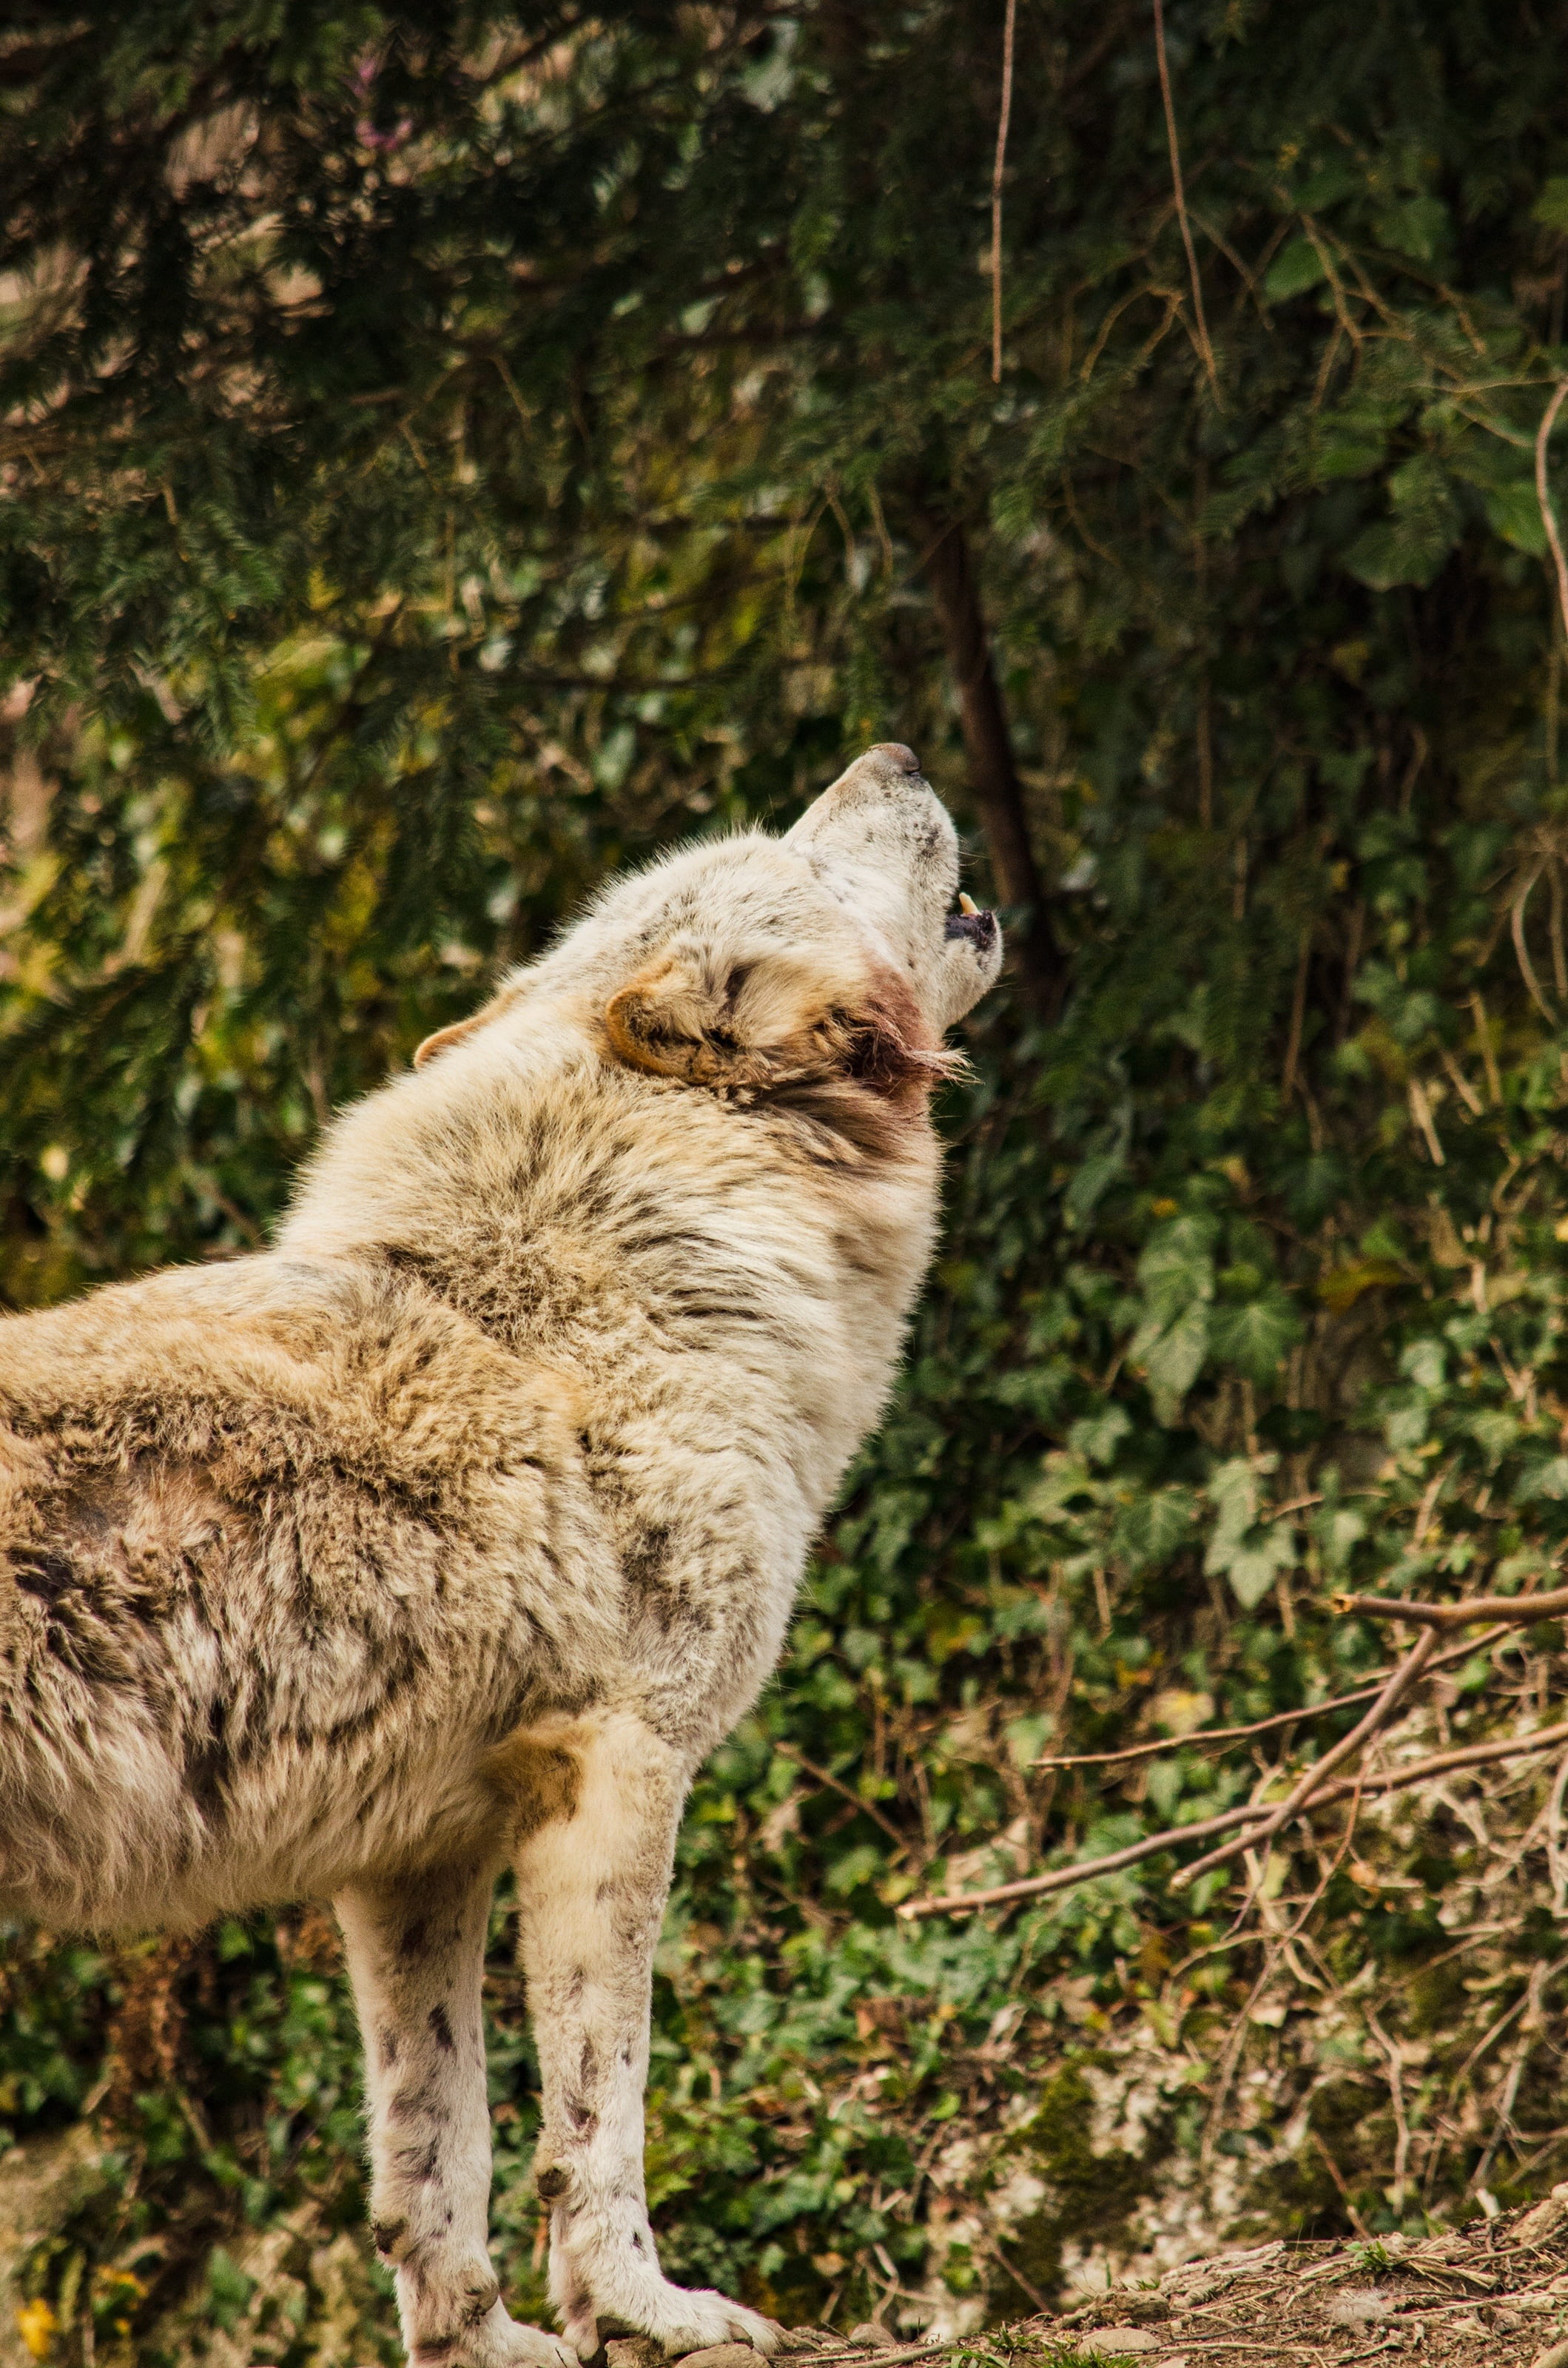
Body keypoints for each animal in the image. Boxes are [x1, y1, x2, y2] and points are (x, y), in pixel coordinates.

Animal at [0, 744, 1002, 2368]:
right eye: (793, 851)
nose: (895, 755)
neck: (633, 1278)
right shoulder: (618, 1777)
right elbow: (598, 2116)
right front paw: (649, 2313)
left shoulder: (410, 1860)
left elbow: (434, 2157)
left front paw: (482, 2345)